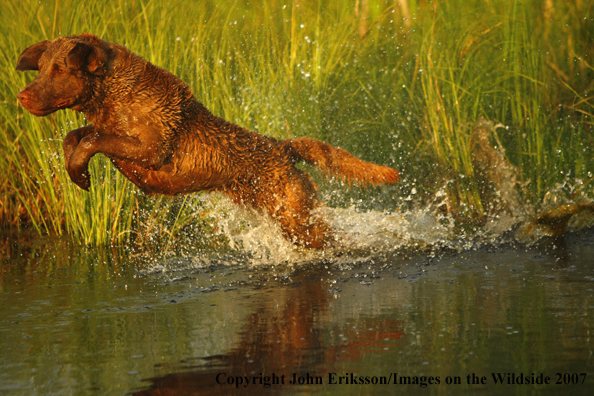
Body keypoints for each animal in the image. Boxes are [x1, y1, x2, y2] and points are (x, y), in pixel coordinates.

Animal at [16, 34, 398, 249]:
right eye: (42, 67)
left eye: (60, 70)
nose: (22, 96)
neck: (116, 93)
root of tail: (282, 147)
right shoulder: (109, 129)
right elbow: (78, 136)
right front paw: (78, 174)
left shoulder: (153, 150)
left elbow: (93, 140)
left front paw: (79, 170)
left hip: (295, 215)